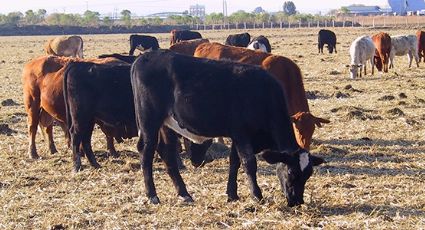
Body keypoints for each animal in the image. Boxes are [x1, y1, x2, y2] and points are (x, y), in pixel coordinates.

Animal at [131, 50, 322, 207]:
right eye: (291, 172)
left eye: (307, 175)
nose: (297, 201)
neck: (263, 95)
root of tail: (145, 57)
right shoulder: (242, 134)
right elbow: (249, 163)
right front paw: (257, 195)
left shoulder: (237, 136)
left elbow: (234, 162)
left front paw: (232, 194)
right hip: (149, 121)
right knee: (146, 151)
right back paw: (152, 196)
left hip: (166, 124)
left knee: (166, 152)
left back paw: (184, 194)